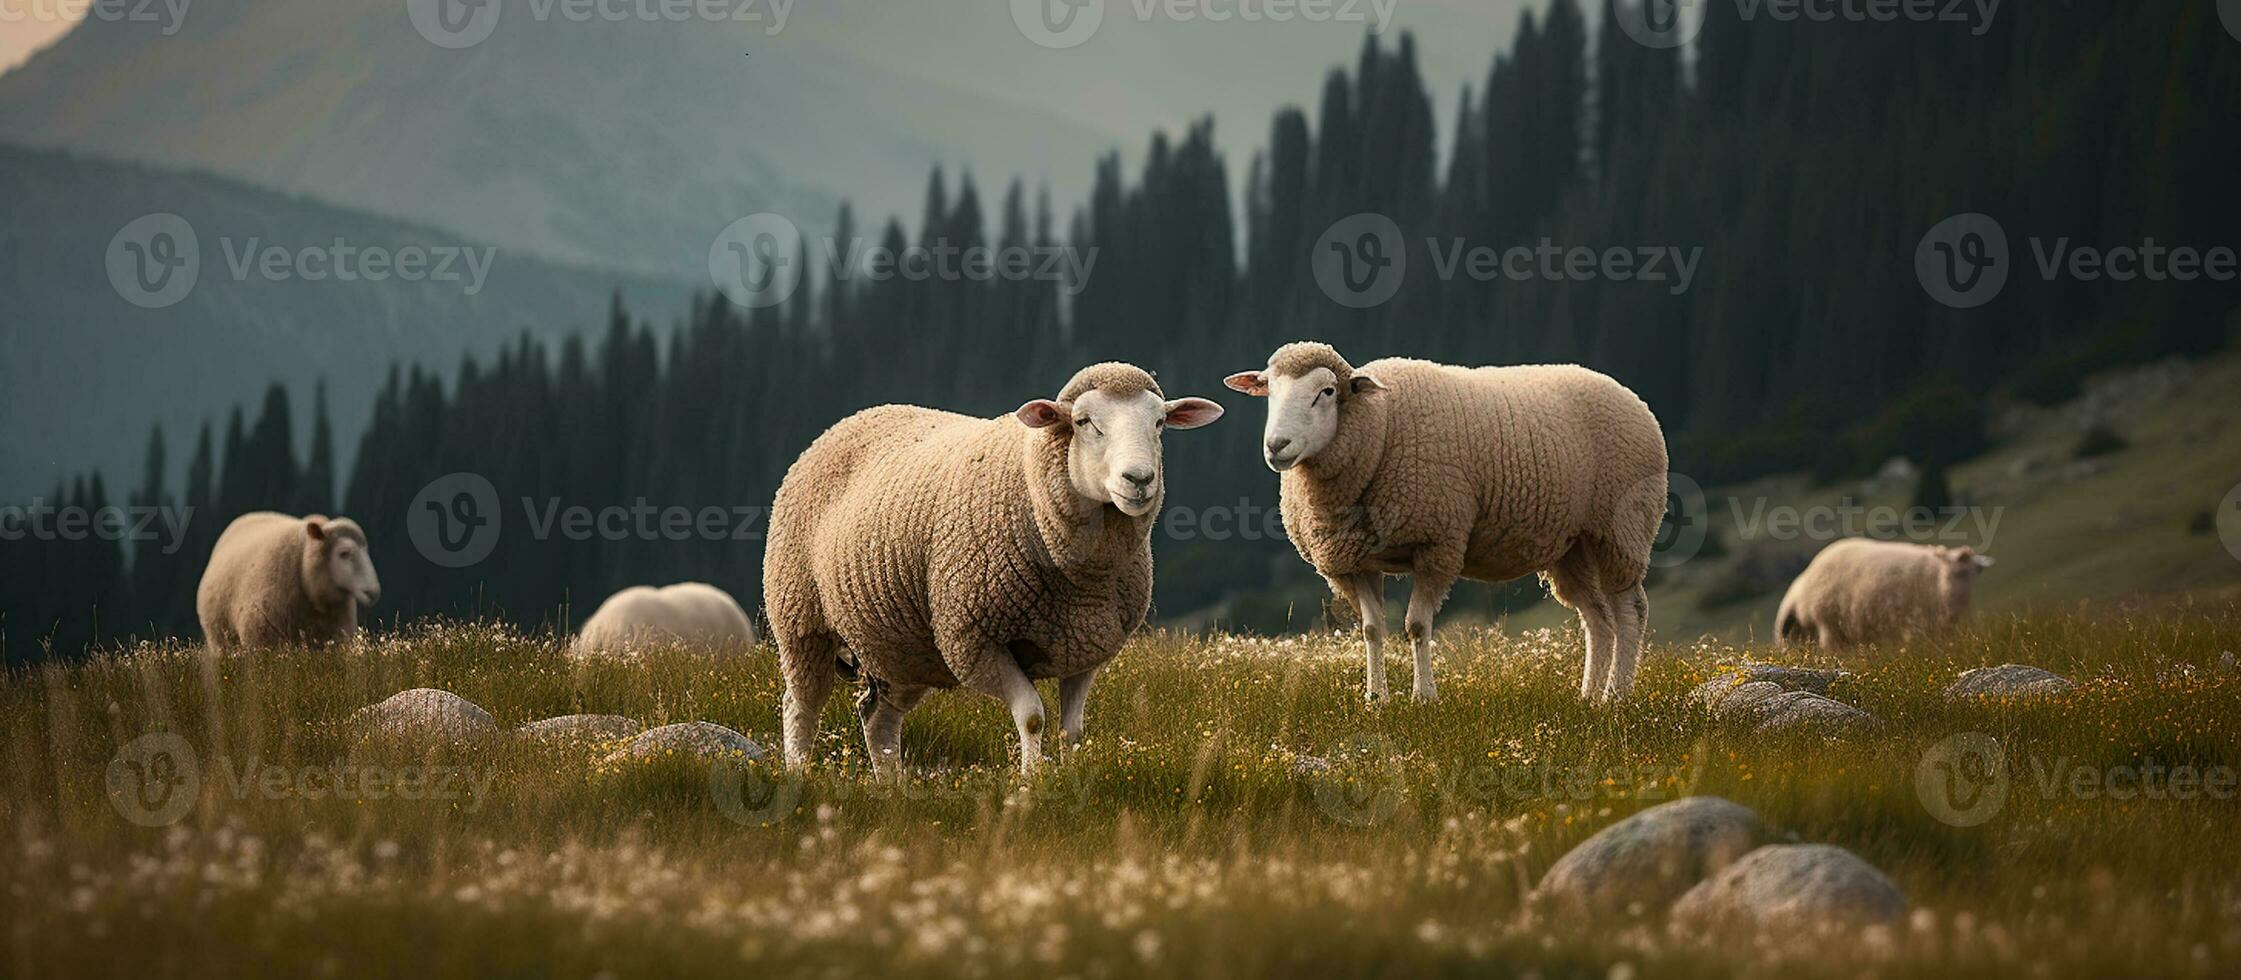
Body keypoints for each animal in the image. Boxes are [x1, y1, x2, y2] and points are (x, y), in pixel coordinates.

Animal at [766, 361, 1228, 771]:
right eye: (1083, 422)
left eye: (1160, 423)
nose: (1140, 479)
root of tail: (847, 422)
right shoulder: (976, 641)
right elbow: (1032, 717)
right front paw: (1031, 783)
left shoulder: (1087, 650)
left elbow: (1072, 731)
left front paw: (1072, 781)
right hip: (801, 621)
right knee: (800, 707)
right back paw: (799, 776)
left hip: (901, 650)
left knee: (878, 718)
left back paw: (891, 789)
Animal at [1228, 343, 1667, 704]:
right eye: (1268, 390)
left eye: (1327, 392)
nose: (1276, 446)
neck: (1381, 428)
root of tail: (1634, 399)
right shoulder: (1354, 560)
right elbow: (1371, 628)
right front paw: (1376, 699)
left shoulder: (1437, 543)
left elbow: (1417, 626)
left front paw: (1423, 697)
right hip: (1573, 546)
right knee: (1597, 619)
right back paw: (1588, 698)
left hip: (1622, 528)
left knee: (1630, 611)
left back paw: (1616, 696)